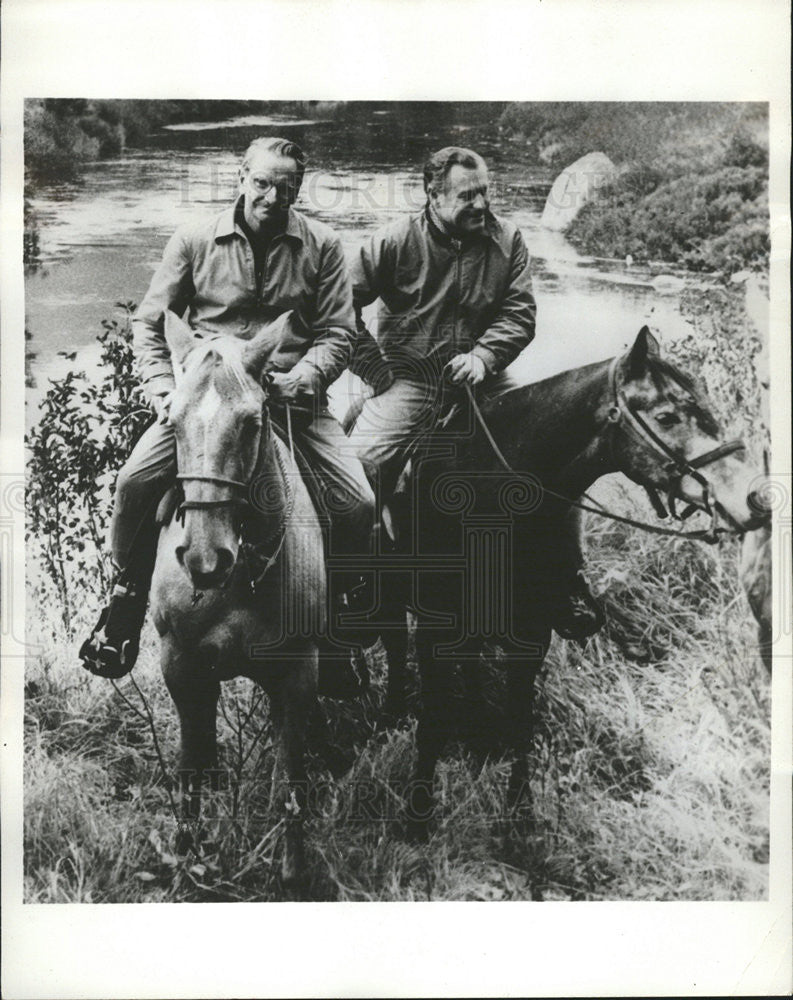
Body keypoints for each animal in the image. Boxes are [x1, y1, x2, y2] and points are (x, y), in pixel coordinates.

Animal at [150, 310, 324, 884]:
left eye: (251, 423)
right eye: (173, 421)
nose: (205, 559)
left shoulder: (298, 673)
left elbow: (292, 782)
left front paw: (292, 873)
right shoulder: (182, 667)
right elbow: (191, 769)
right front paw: (187, 858)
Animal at [368, 328, 772, 836]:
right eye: (666, 415)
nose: (755, 499)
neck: (487, 491)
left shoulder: (531, 630)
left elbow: (521, 723)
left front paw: (520, 814)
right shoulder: (434, 626)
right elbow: (433, 719)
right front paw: (419, 816)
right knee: (394, 645)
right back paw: (389, 716)